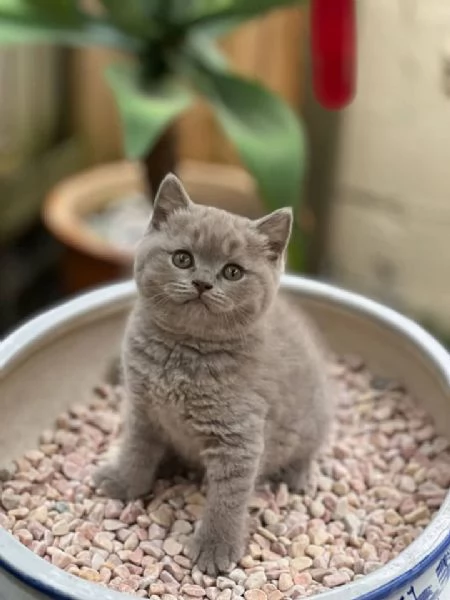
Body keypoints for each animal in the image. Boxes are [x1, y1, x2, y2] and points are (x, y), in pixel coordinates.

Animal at [94, 175, 334, 576]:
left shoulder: (237, 439)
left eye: (232, 271)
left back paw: (297, 476)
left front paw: (215, 548)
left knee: (307, 450)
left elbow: (227, 499)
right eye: (182, 258)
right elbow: (136, 451)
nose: (203, 283)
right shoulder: (143, 409)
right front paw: (122, 482)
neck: (182, 354)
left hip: (313, 419)